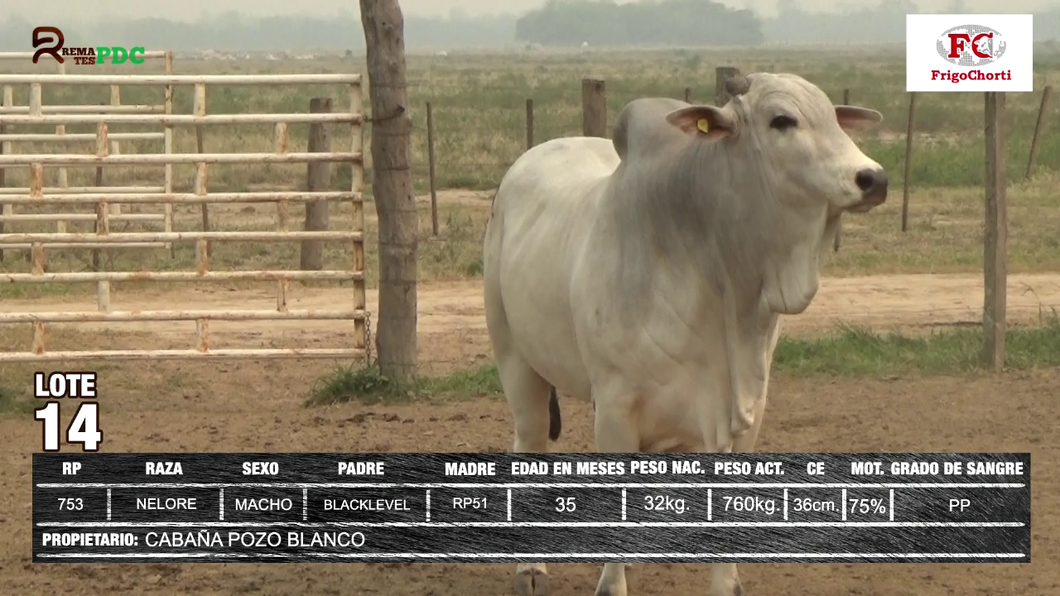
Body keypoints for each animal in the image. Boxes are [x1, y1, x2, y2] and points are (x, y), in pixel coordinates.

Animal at [485, 73, 890, 593]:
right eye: (782, 120)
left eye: (832, 117)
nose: (873, 178)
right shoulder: (614, 409)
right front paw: (611, 583)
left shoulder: (747, 410)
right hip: (516, 361)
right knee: (529, 443)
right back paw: (530, 567)